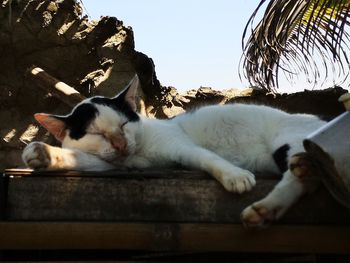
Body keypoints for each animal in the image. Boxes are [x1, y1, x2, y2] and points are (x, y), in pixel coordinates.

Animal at [21, 75, 326, 228]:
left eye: (123, 124)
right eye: (98, 134)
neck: (141, 151)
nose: (121, 144)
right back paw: (265, 212)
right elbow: (83, 159)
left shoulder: (182, 146)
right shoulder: (117, 165)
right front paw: (43, 154)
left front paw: (235, 176)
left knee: (300, 173)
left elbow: (208, 157)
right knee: (306, 178)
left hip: (287, 141)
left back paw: (264, 206)